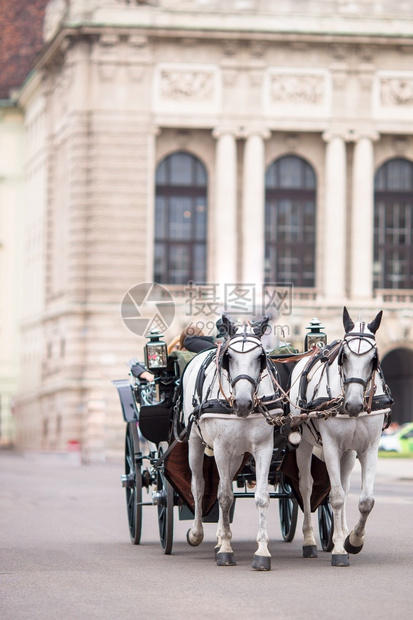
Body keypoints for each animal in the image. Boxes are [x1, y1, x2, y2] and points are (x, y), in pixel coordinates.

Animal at [183, 318, 284, 568]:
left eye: (261, 357)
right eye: (229, 357)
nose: (243, 402)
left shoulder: (264, 448)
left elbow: (260, 498)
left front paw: (262, 552)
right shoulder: (221, 448)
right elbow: (225, 497)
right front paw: (226, 551)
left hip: (236, 455)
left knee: (222, 483)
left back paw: (220, 538)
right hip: (195, 442)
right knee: (198, 486)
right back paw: (197, 533)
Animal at [288, 308, 392, 564]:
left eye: (374, 359)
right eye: (343, 356)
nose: (353, 404)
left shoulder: (369, 448)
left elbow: (365, 501)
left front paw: (352, 540)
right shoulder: (331, 447)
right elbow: (334, 496)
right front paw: (338, 550)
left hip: (349, 452)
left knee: (344, 486)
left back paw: (341, 533)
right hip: (304, 444)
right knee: (306, 487)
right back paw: (309, 541)